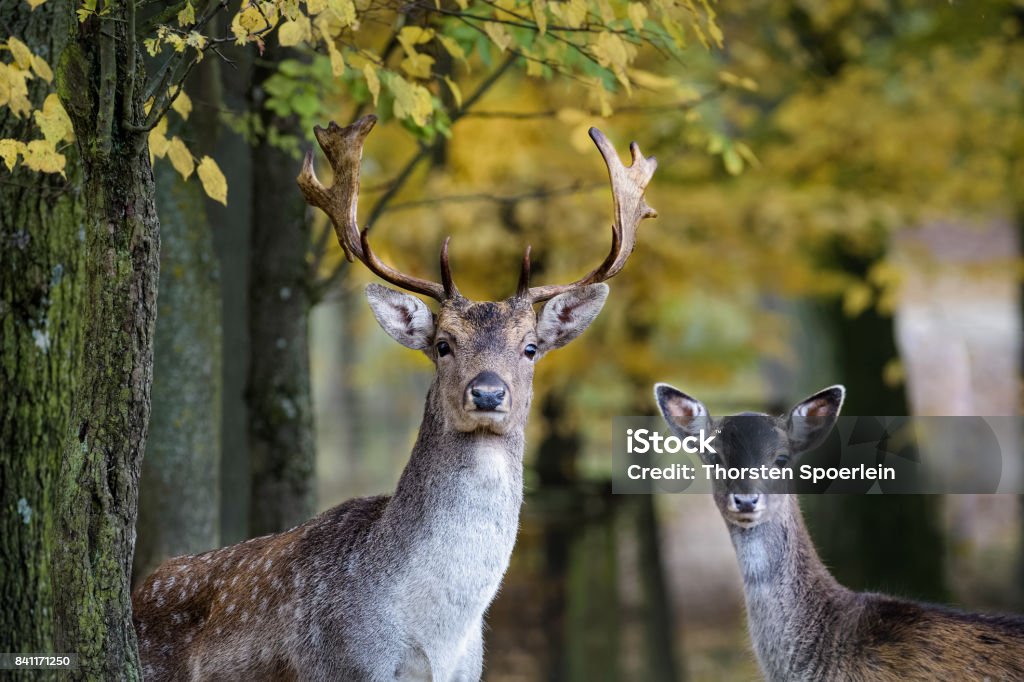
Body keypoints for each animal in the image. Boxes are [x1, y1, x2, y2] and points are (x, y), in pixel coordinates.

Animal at [132, 114, 655, 675]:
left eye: (531, 347)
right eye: (443, 344)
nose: (488, 393)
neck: (437, 641)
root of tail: (137, 591)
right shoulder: (341, 665)